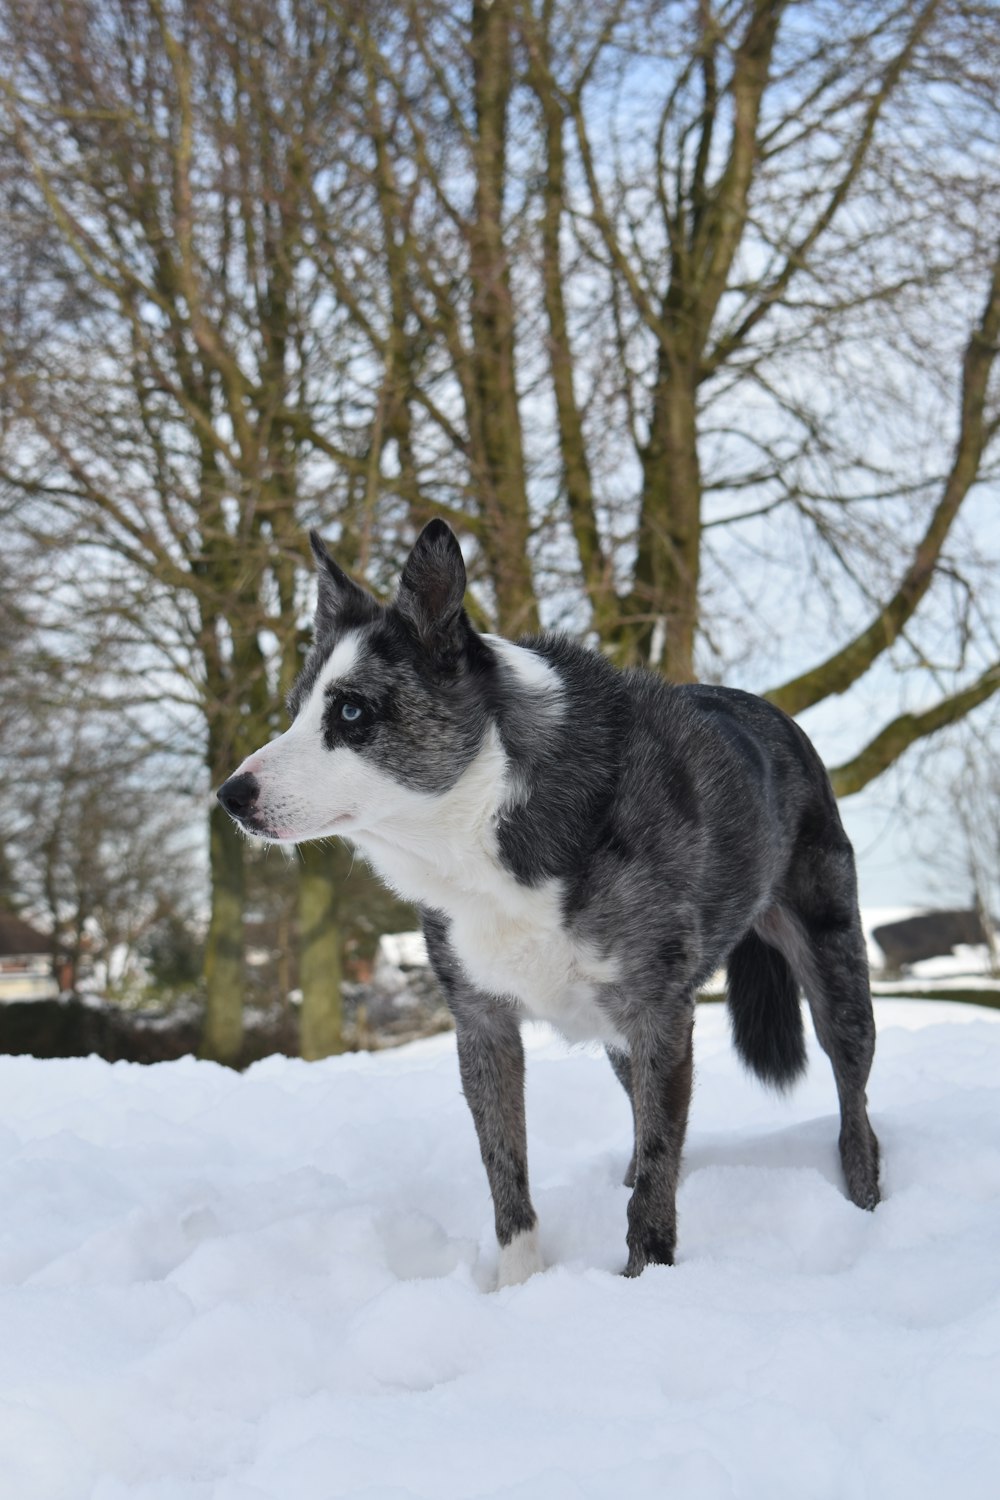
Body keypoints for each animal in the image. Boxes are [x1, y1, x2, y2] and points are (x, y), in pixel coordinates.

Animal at [220, 522, 881, 1284]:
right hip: (622, 1036)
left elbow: (656, 1167)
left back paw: (864, 1195)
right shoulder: (483, 1024)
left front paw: (645, 1280)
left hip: (831, 963)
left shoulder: (657, 1013)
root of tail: (775, 715)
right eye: (296, 710)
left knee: (850, 1092)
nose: (230, 796)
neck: (491, 811)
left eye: (352, 711)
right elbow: (507, 1170)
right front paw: (520, 1286)